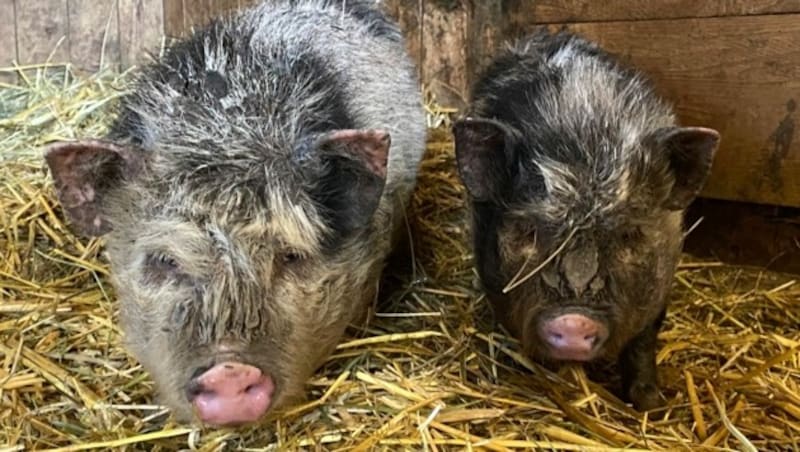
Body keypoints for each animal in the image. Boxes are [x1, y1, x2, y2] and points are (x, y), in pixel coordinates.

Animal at [454, 29, 720, 410]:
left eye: (630, 235)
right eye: (528, 231)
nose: (575, 322)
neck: (585, 134)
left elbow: (643, 343)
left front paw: (651, 405)